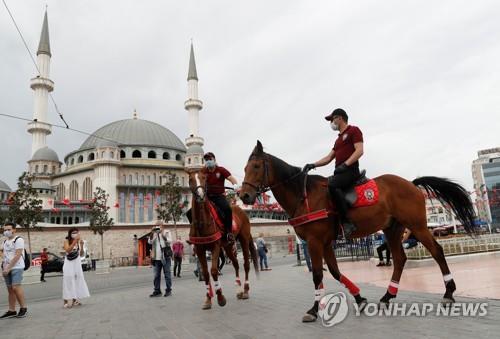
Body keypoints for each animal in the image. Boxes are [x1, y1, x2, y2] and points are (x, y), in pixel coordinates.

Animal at [187, 170, 258, 310]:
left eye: (204, 178)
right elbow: (205, 273)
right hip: (227, 246)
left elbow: (214, 271)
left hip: (243, 239)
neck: (203, 222)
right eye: (191, 179)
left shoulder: (215, 246)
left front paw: (220, 298)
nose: (201, 195)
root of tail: (241, 210)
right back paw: (239, 290)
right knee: (235, 263)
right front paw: (208, 299)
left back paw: (245, 290)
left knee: (246, 264)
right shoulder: (199, 249)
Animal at [240, 141, 474, 324]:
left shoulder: (315, 241)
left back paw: (448, 292)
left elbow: (317, 275)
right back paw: (388, 296)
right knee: (399, 259)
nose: (244, 196)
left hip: (417, 226)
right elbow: (334, 272)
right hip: (392, 229)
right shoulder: (325, 243)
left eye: (257, 166)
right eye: (244, 168)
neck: (304, 195)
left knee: (436, 251)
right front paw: (359, 298)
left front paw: (314, 310)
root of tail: (411, 183)